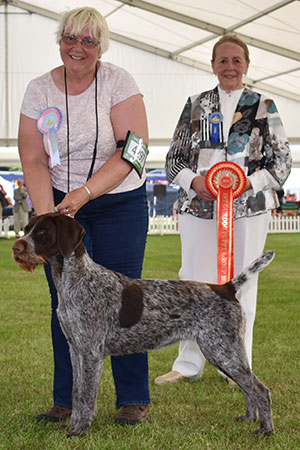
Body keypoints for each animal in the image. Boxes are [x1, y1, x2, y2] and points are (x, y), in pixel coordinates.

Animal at [12, 213, 274, 438]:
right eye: (27, 229)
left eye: (43, 232)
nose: (16, 247)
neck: (74, 282)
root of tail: (226, 287)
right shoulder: (76, 350)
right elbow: (77, 394)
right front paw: (73, 425)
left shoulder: (91, 353)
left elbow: (86, 396)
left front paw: (81, 430)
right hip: (222, 352)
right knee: (248, 387)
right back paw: (249, 418)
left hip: (223, 351)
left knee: (260, 389)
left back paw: (265, 430)